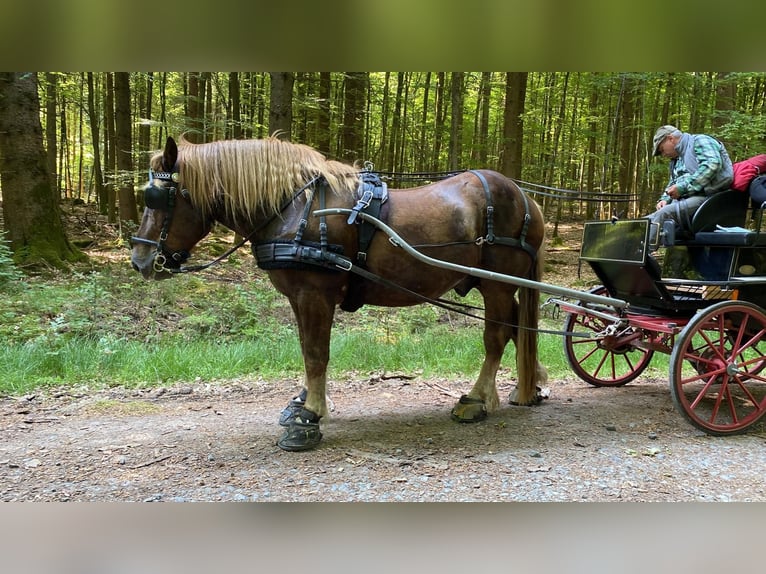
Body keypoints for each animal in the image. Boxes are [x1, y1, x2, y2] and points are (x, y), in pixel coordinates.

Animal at [130, 136, 548, 451]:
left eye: (158, 198)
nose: (140, 260)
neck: (293, 207)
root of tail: (526, 197)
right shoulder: (297, 297)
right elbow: (306, 348)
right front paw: (303, 402)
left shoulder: (315, 294)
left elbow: (317, 353)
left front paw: (310, 416)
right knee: (517, 327)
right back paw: (530, 385)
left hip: (496, 282)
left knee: (496, 335)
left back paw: (476, 399)